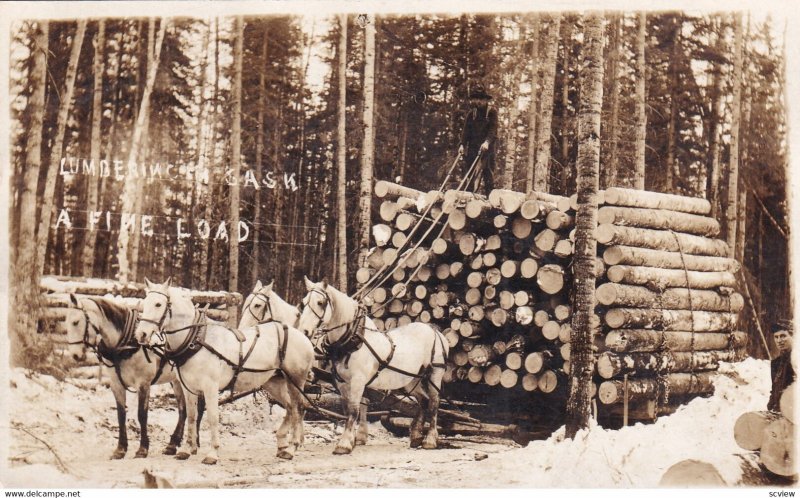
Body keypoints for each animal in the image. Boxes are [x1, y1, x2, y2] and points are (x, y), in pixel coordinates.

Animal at [136, 278, 314, 464]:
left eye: (158, 304)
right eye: (144, 303)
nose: (141, 334)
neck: (197, 340)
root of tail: (302, 335)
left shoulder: (210, 387)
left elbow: (213, 418)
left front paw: (212, 453)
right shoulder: (189, 388)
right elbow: (191, 416)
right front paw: (185, 449)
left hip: (296, 380)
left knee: (299, 408)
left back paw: (293, 447)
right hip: (273, 383)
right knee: (290, 407)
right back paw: (282, 444)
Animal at [298, 276, 450, 456]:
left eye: (320, 302)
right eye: (303, 302)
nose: (304, 332)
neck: (352, 339)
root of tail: (435, 331)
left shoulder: (358, 381)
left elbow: (354, 409)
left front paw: (344, 444)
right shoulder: (342, 383)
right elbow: (347, 409)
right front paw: (351, 440)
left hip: (435, 373)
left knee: (433, 403)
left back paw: (430, 440)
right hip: (411, 379)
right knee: (423, 401)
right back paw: (415, 436)